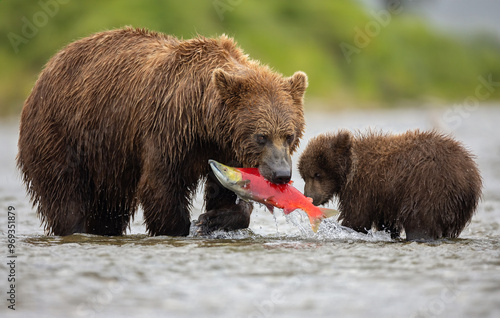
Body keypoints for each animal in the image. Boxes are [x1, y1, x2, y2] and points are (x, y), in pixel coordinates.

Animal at [17, 27, 306, 236]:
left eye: (289, 135)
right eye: (261, 137)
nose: (281, 174)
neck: (204, 122)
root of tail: (47, 68)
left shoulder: (225, 149)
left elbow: (224, 193)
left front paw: (211, 219)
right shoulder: (168, 130)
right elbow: (161, 186)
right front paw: (182, 228)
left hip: (109, 162)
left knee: (107, 209)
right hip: (61, 134)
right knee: (65, 196)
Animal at [298, 130, 482, 240]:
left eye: (317, 174)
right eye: (304, 176)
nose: (309, 196)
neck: (350, 170)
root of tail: (469, 176)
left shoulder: (363, 187)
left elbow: (357, 218)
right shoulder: (385, 197)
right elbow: (386, 222)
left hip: (428, 189)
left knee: (420, 222)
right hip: (456, 208)